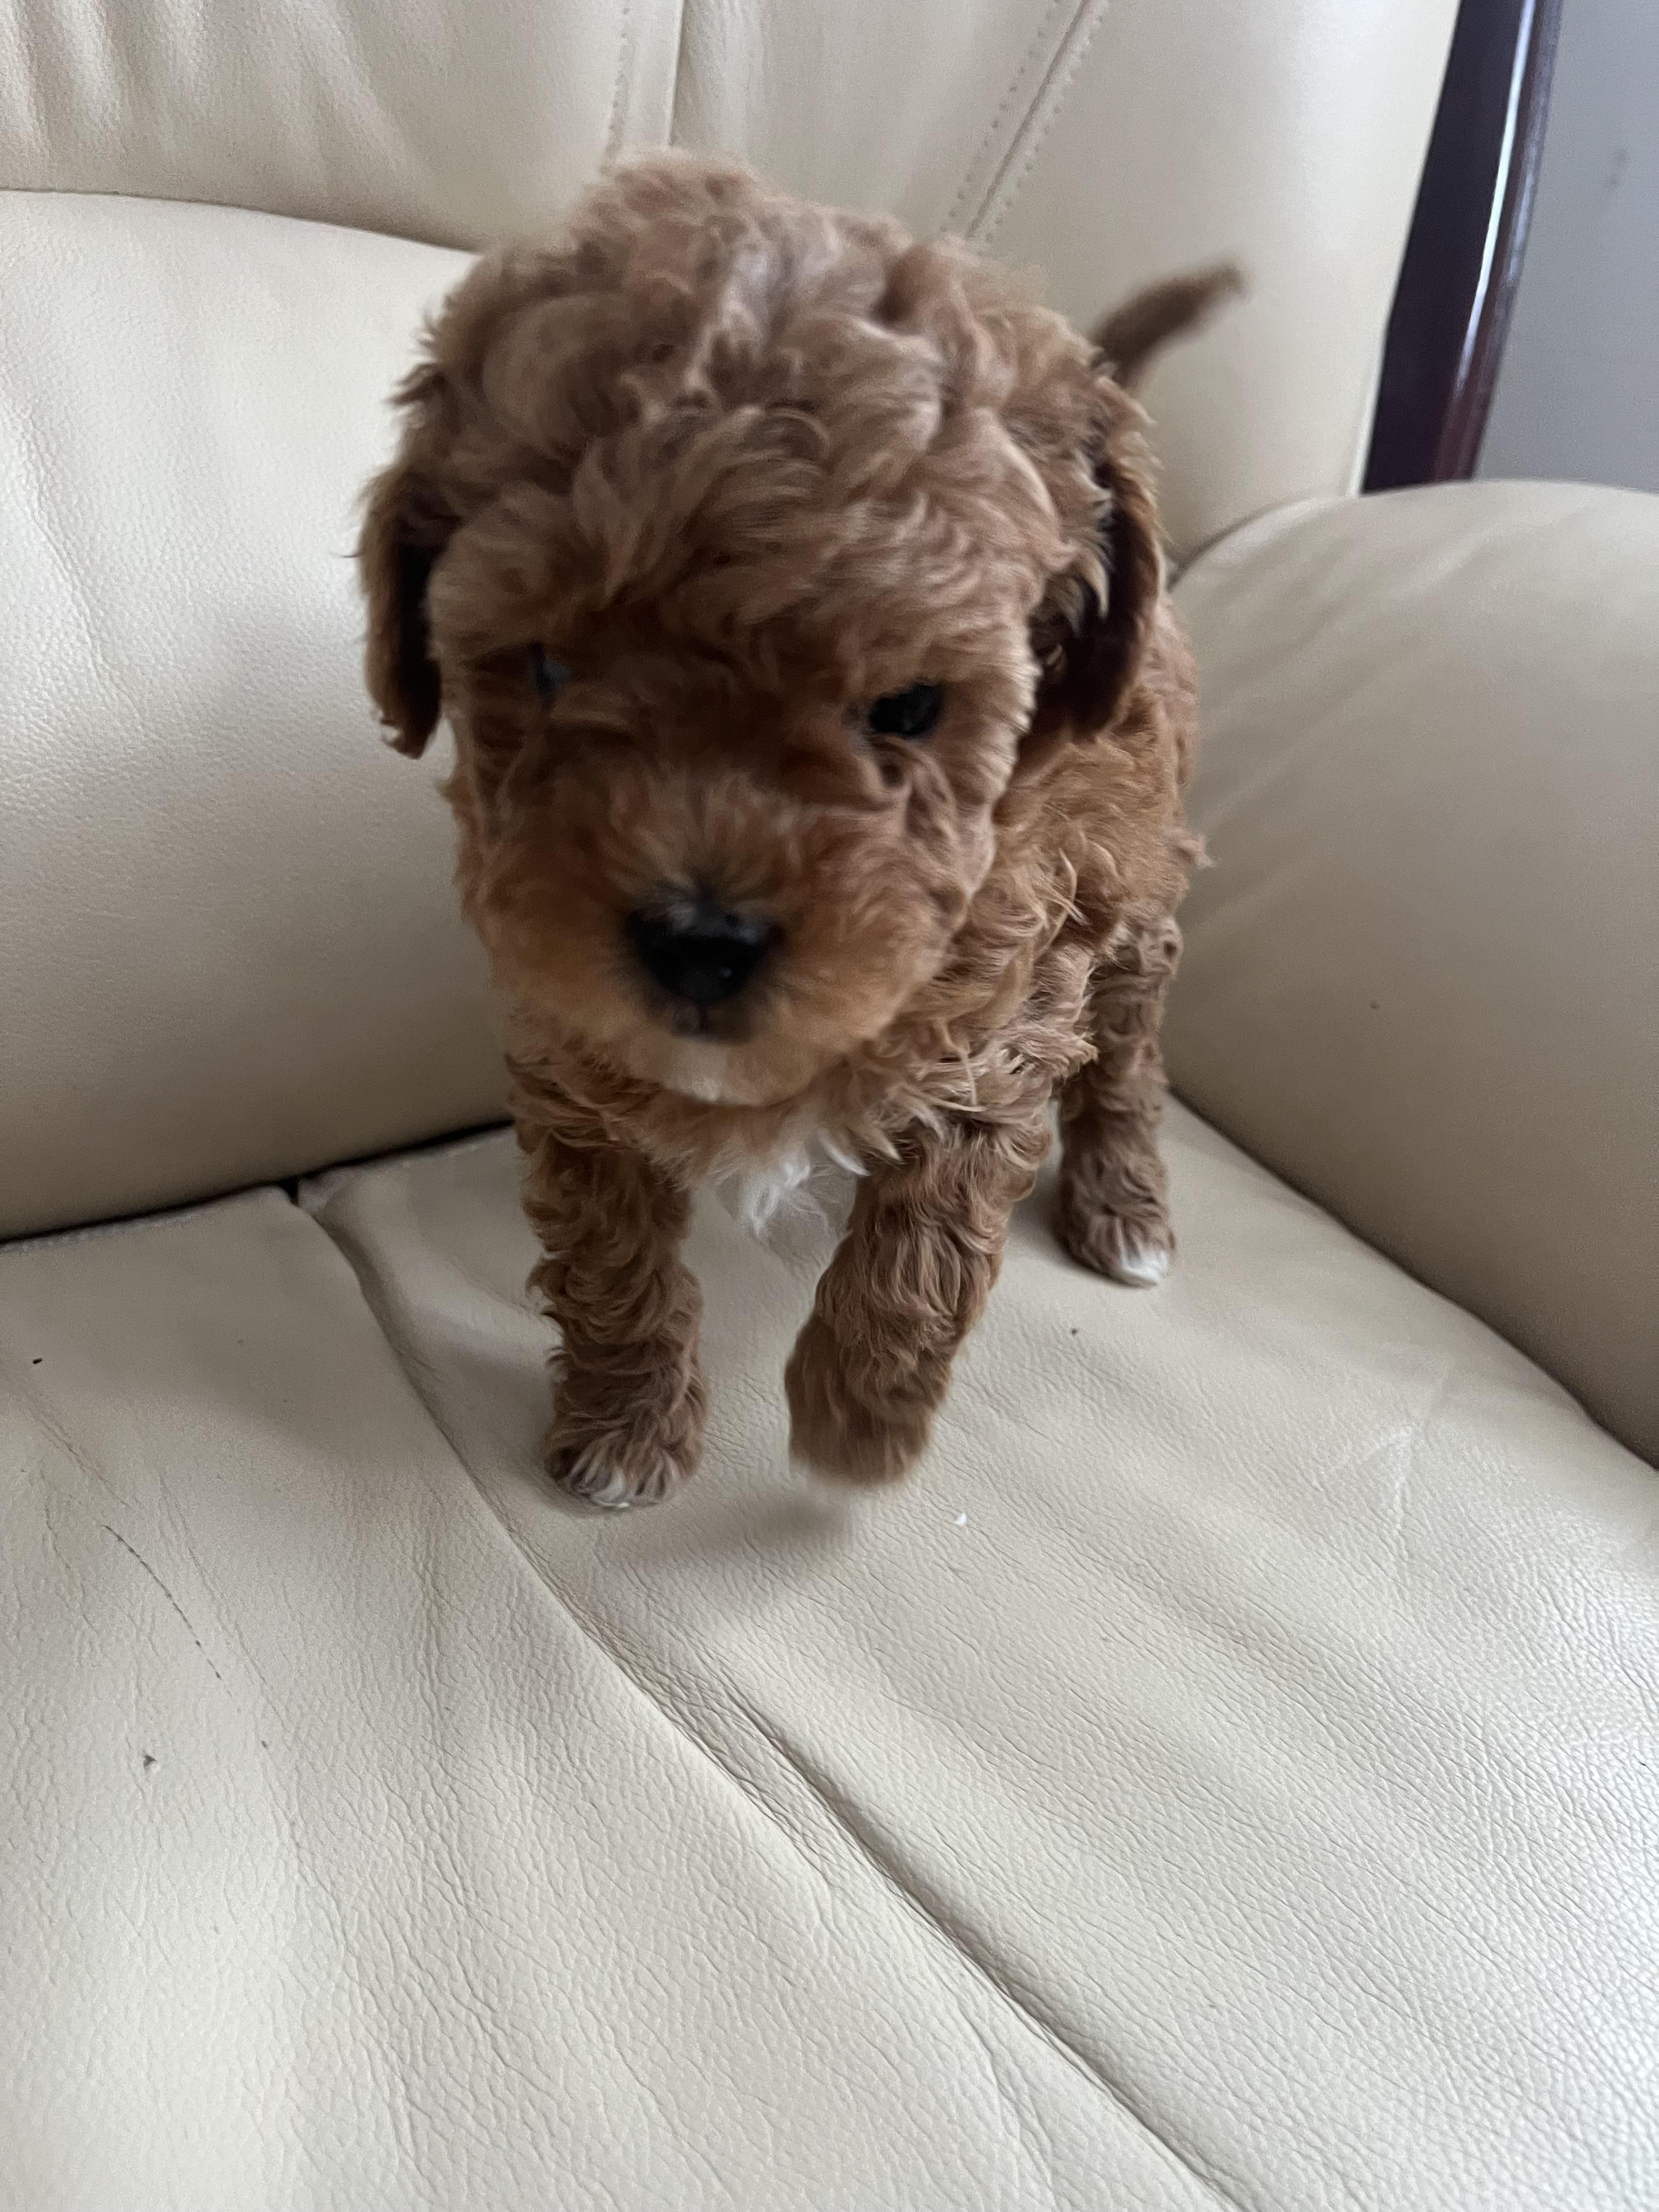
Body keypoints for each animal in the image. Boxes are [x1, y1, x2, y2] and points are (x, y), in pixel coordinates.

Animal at [358, 153, 1236, 1506]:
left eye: (908, 706)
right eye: (549, 666)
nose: (700, 940)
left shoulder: (999, 1024)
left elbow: (923, 1248)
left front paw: (857, 1423)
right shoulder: (569, 1045)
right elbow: (606, 1244)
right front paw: (625, 1428)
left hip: (1137, 897)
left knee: (1133, 1054)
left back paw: (1124, 1205)